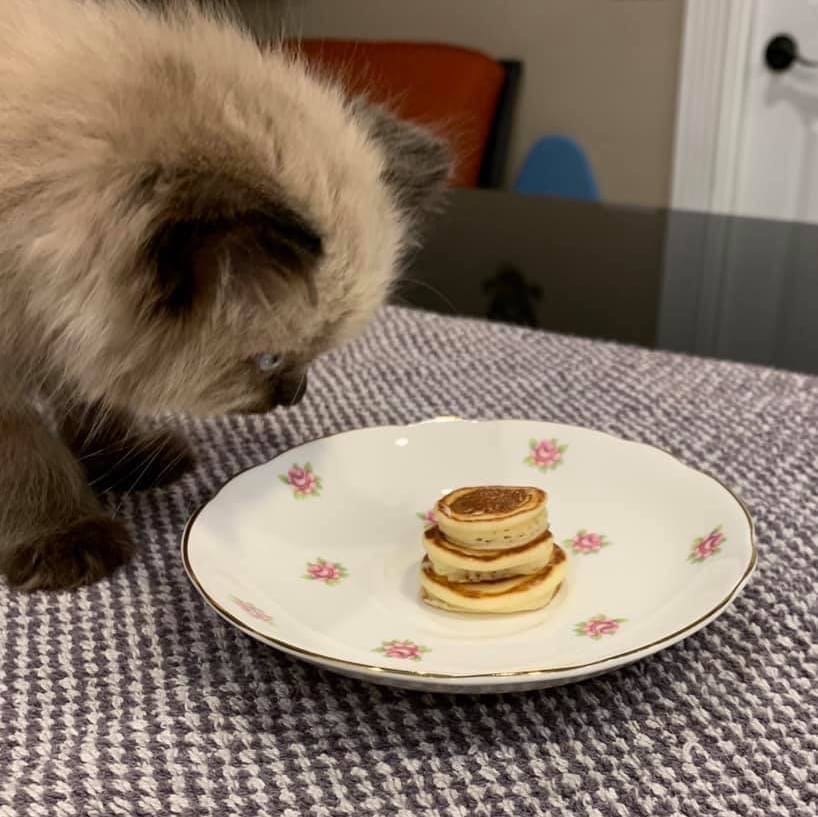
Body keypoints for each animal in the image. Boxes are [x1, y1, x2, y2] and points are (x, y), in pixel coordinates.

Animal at [0, 0, 446, 588]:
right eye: (269, 359)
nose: (297, 393)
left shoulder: (65, 331)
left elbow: (93, 398)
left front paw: (122, 459)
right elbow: (27, 452)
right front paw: (67, 536)